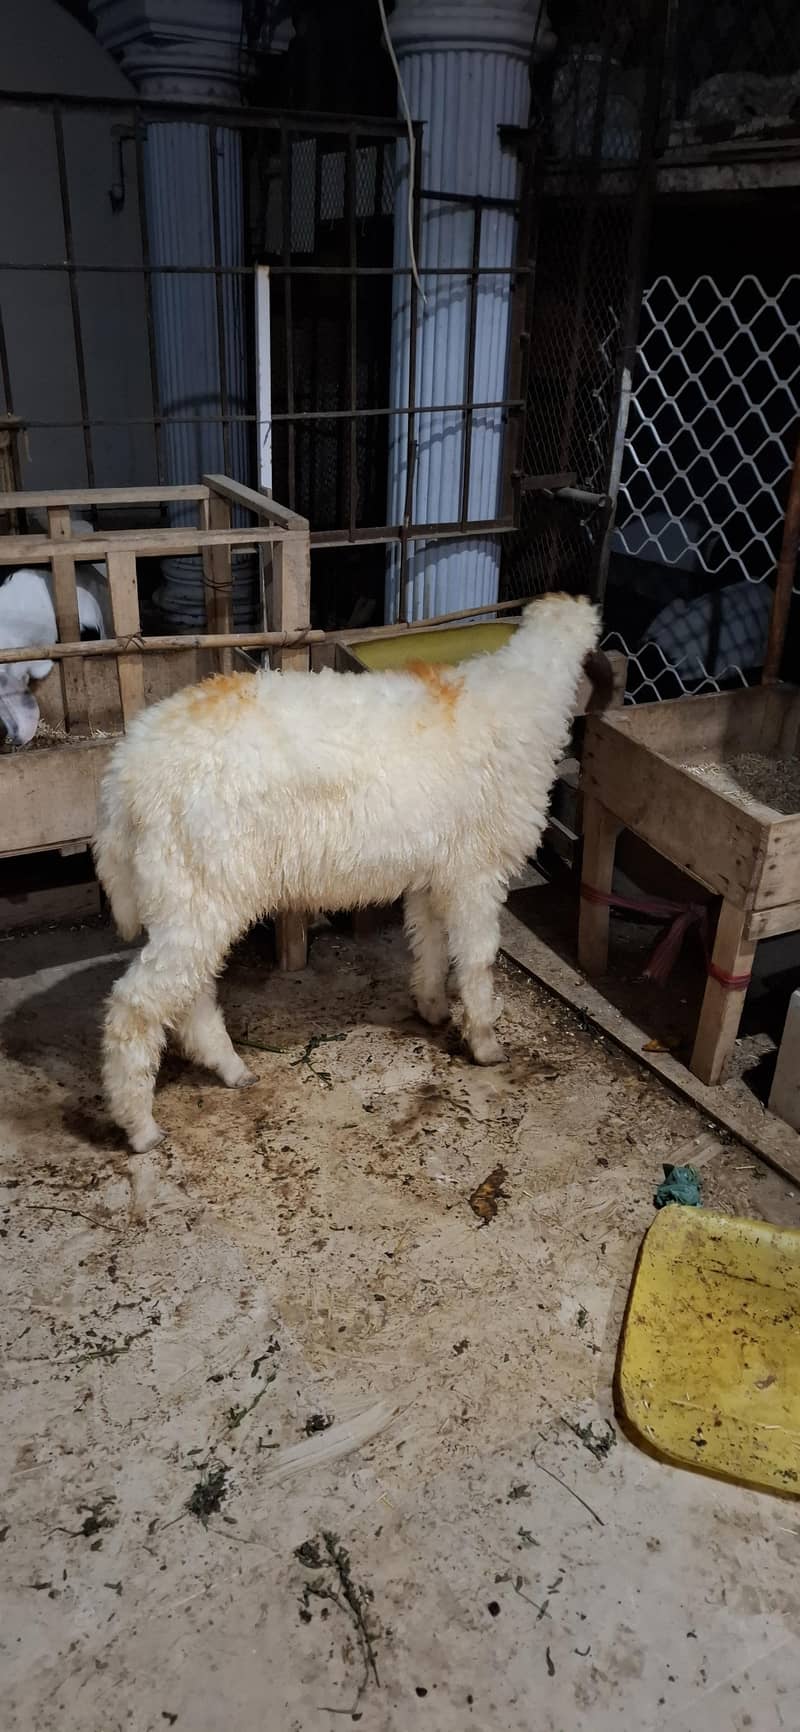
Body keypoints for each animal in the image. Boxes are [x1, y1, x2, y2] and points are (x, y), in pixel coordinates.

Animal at [94, 592, 602, 1154]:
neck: (523, 695)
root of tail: (124, 775)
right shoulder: (476, 870)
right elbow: (477, 960)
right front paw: (486, 1043)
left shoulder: (434, 871)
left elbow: (428, 942)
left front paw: (432, 1008)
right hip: (196, 891)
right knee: (136, 1006)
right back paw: (140, 1126)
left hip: (192, 897)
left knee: (190, 993)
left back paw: (230, 1067)